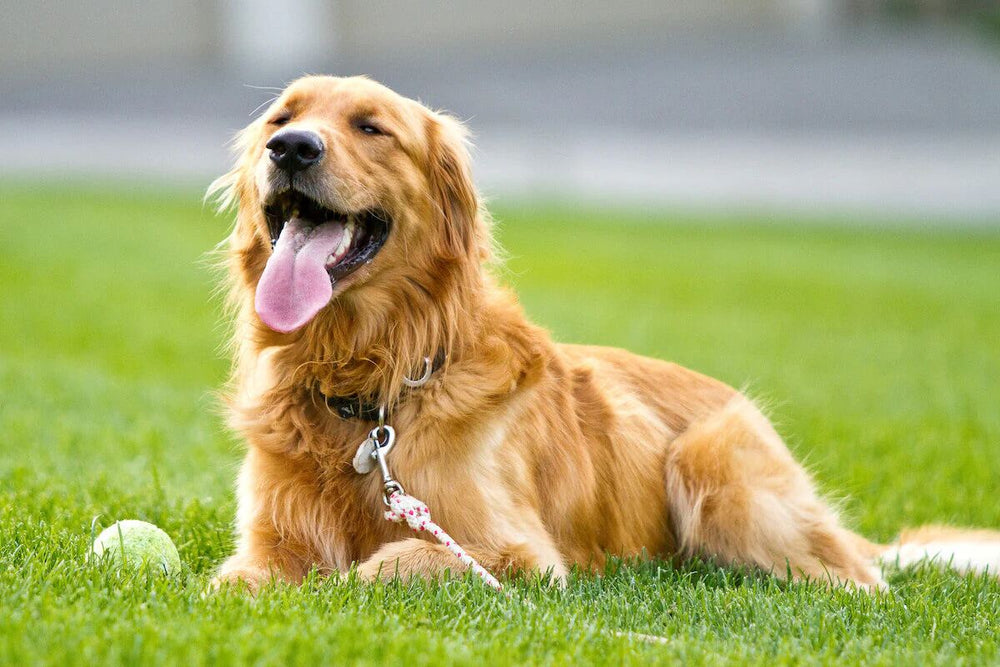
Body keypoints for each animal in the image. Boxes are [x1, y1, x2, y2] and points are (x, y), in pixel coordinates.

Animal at [207, 75, 996, 592]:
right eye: (281, 118)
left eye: (371, 127)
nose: (292, 148)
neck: (372, 386)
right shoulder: (268, 538)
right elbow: (236, 580)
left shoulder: (515, 552)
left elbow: (384, 567)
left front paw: (345, 580)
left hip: (716, 464)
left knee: (858, 580)